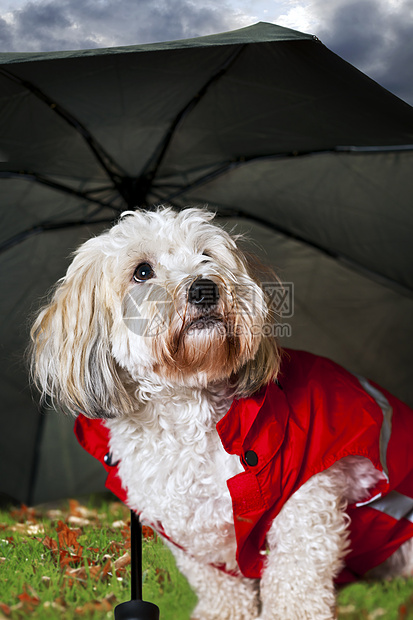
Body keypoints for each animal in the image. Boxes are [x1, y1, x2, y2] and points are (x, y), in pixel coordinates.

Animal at [29, 208, 412, 620]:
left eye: (207, 256)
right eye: (142, 271)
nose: (204, 288)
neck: (187, 412)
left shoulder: (306, 502)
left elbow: (294, 582)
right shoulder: (196, 535)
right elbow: (221, 589)